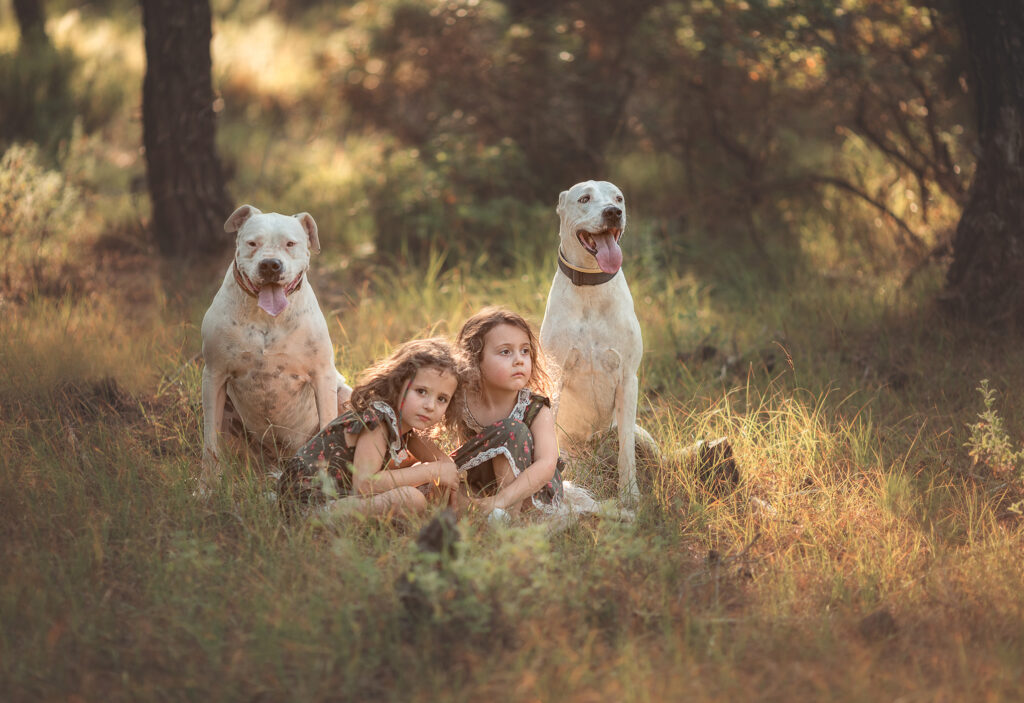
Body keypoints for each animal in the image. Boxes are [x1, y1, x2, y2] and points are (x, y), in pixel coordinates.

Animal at [540, 179, 651, 503]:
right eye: (584, 199)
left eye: (619, 198)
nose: (613, 212)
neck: (590, 285)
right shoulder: (554, 376)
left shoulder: (628, 379)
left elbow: (626, 449)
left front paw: (629, 494)